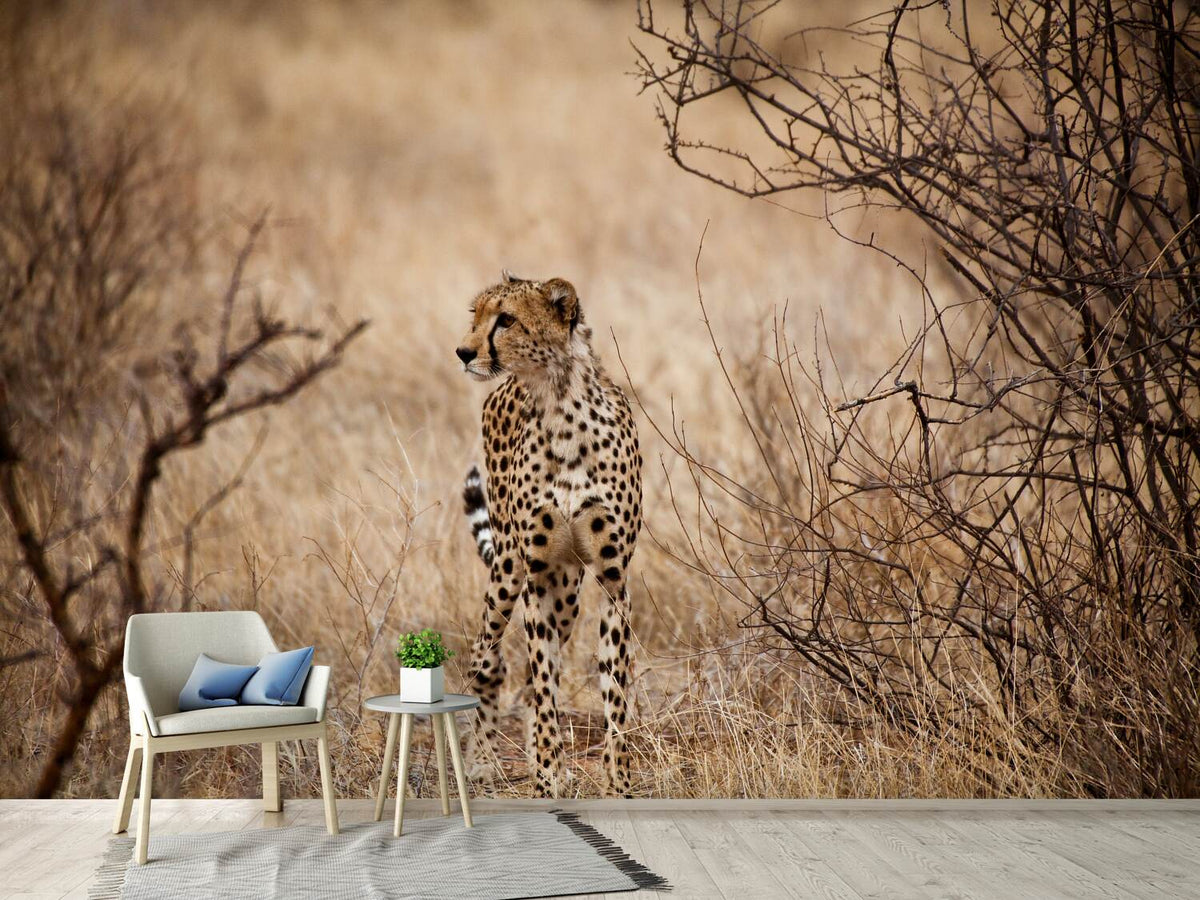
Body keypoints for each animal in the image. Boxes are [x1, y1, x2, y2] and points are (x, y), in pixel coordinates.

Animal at [454, 271, 642, 798]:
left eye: (506, 319)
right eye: (475, 316)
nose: (463, 352)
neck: (560, 404)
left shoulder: (612, 578)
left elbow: (614, 688)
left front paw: (619, 783)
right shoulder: (534, 577)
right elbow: (543, 684)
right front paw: (545, 781)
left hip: (568, 593)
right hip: (508, 571)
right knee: (489, 659)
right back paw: (481, 761)